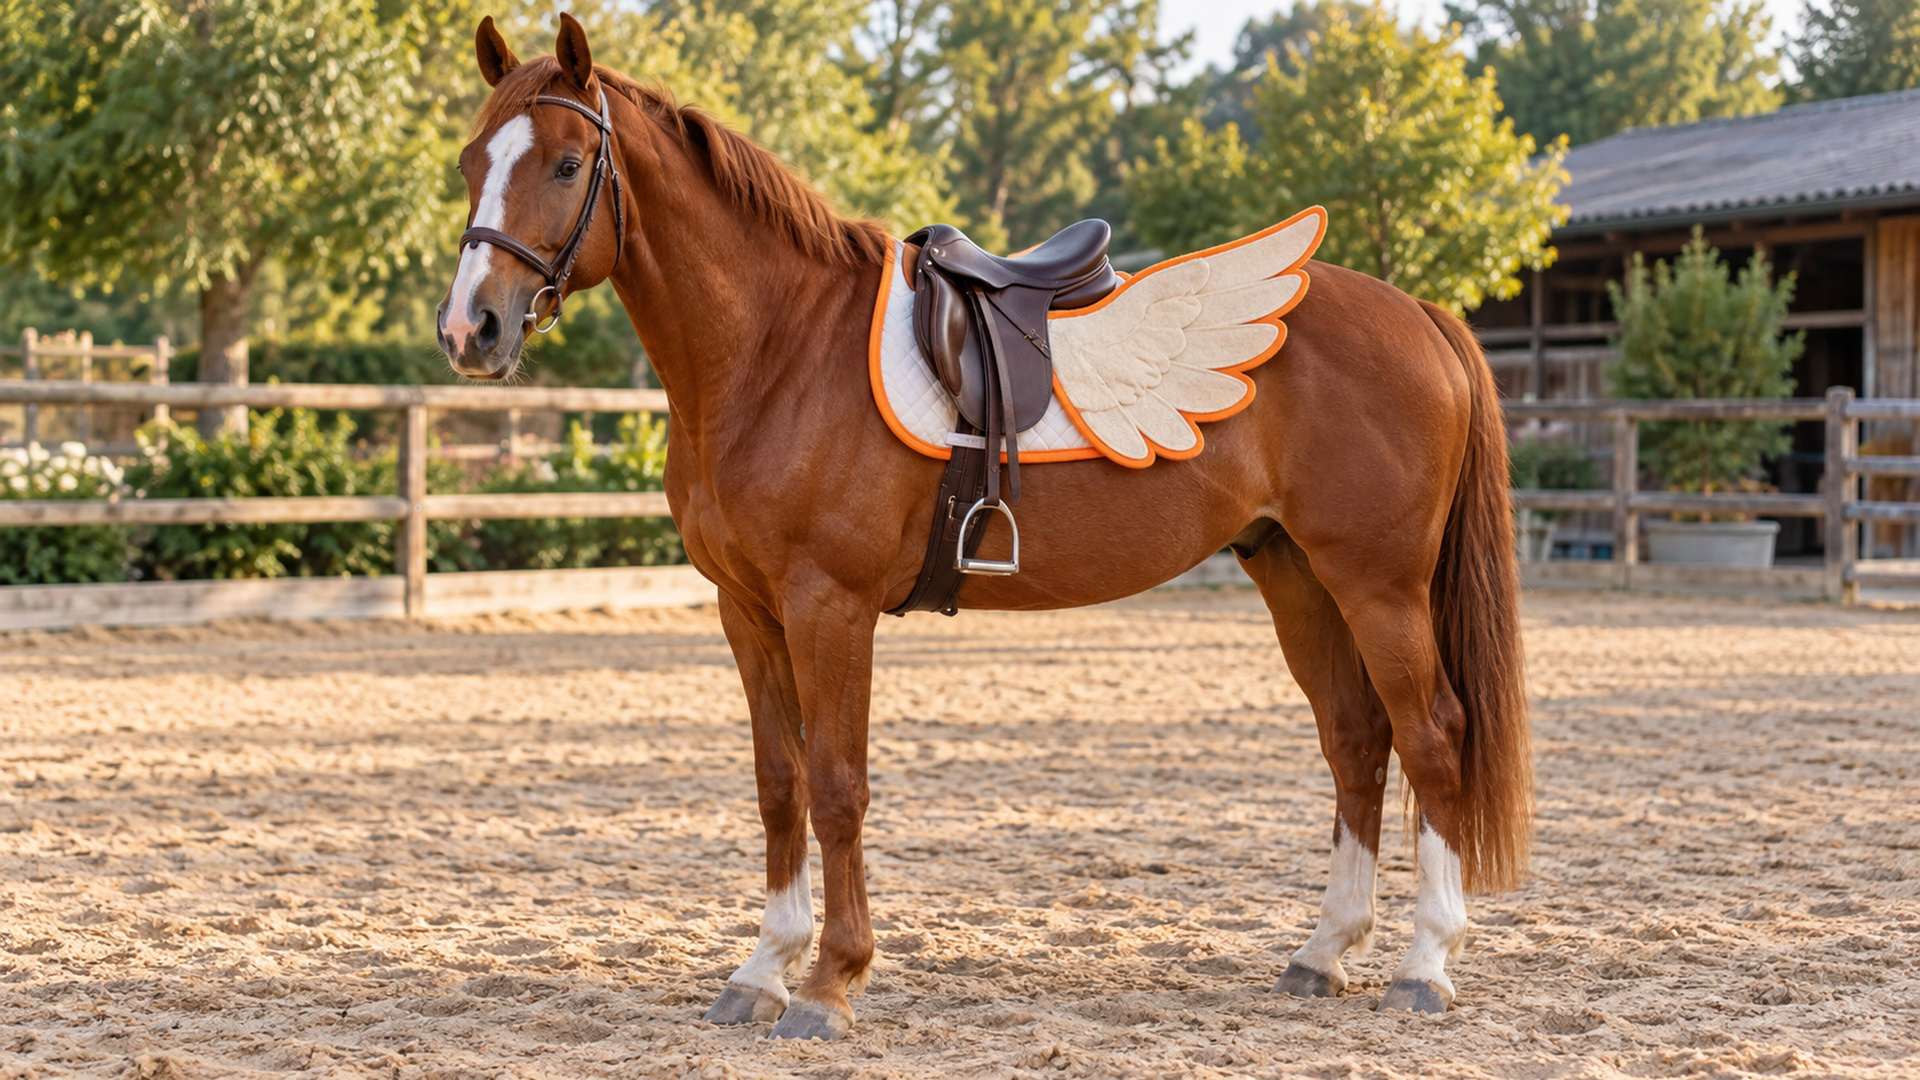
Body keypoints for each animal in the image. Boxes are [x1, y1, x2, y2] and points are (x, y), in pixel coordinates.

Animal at [435, 14, 1531, 1040]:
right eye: (471, 163)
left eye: (566, 164)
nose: (468, 330)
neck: (778, 349)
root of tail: (1421, 315)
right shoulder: (746, 609)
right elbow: (778, 783)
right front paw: (761, 970)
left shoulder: (830, 608)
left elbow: (838, 785)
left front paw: (829, 983)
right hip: (1295, 573)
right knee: (1356, 738)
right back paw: (1324, 950)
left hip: (1378, 583)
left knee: (1432, 735)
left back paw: (1425, 965)